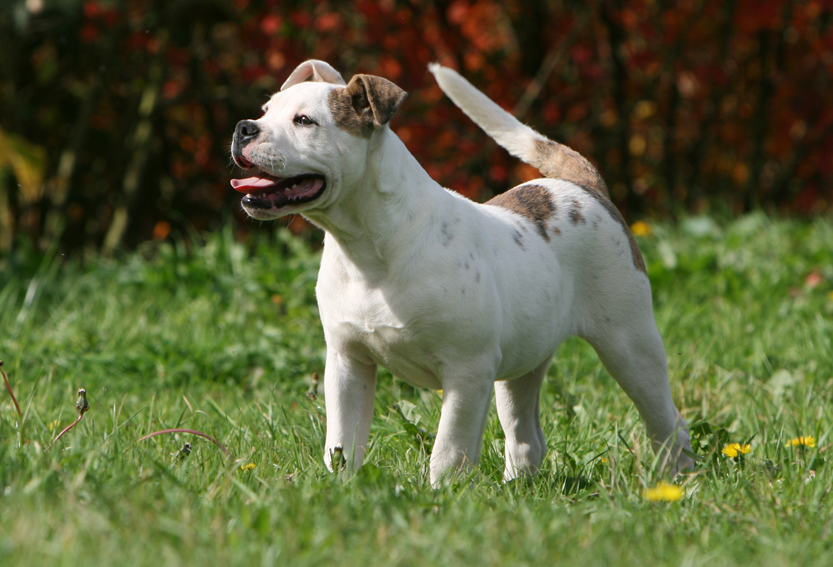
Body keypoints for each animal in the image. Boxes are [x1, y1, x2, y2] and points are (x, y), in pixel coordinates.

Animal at [231, 60, 692, 486]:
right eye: (266, 111)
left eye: (304, 121)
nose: (243, 127)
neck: (366, 245)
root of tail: (585, 188)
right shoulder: (348, 363)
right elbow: (342, 440)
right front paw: (340, 485)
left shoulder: (467, 372)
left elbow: (449, 448)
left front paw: (440, 496)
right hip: (522, 363)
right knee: (526, 436)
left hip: (630, 344)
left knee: (666, 419)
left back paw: (678, 480)